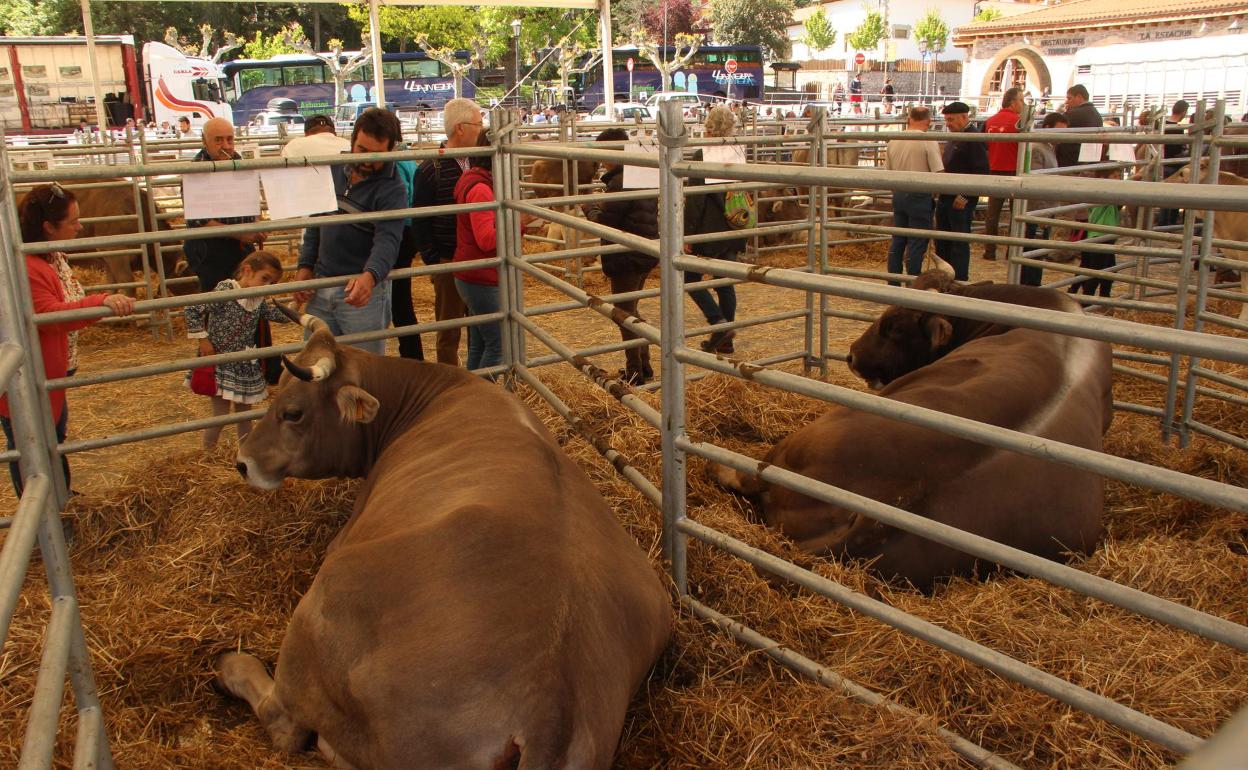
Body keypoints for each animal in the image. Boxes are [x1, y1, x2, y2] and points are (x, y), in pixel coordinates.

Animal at [223, 310, 673, 763]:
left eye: (293, 412)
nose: (243, 462)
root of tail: (548, 712)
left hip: (317, 618)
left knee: (285, 722)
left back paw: (230, 666)